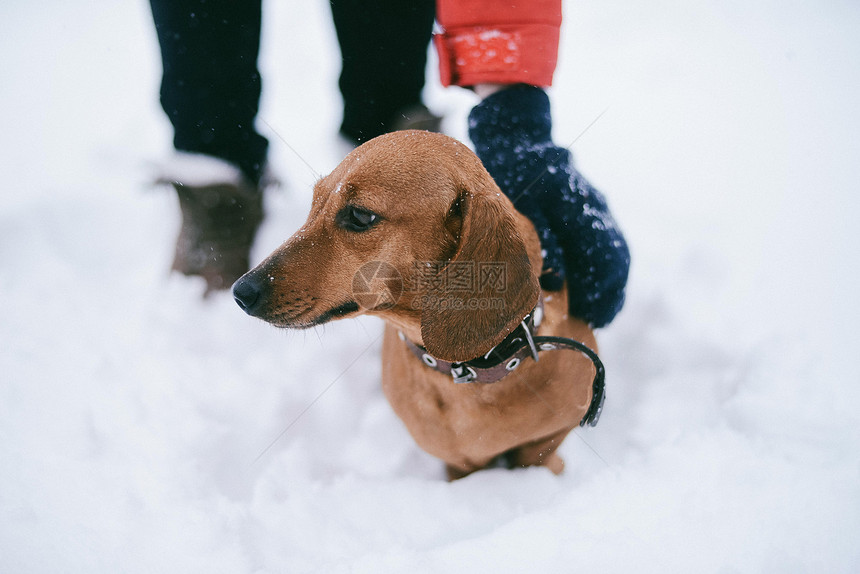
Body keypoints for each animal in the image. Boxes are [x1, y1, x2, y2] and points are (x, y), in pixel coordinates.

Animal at [233, 130, 596, 482]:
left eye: (360, 215)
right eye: (314, 203)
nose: (241, 292)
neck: (468, 370)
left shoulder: (554, 433)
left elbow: (537, 453)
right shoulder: (457, 461)